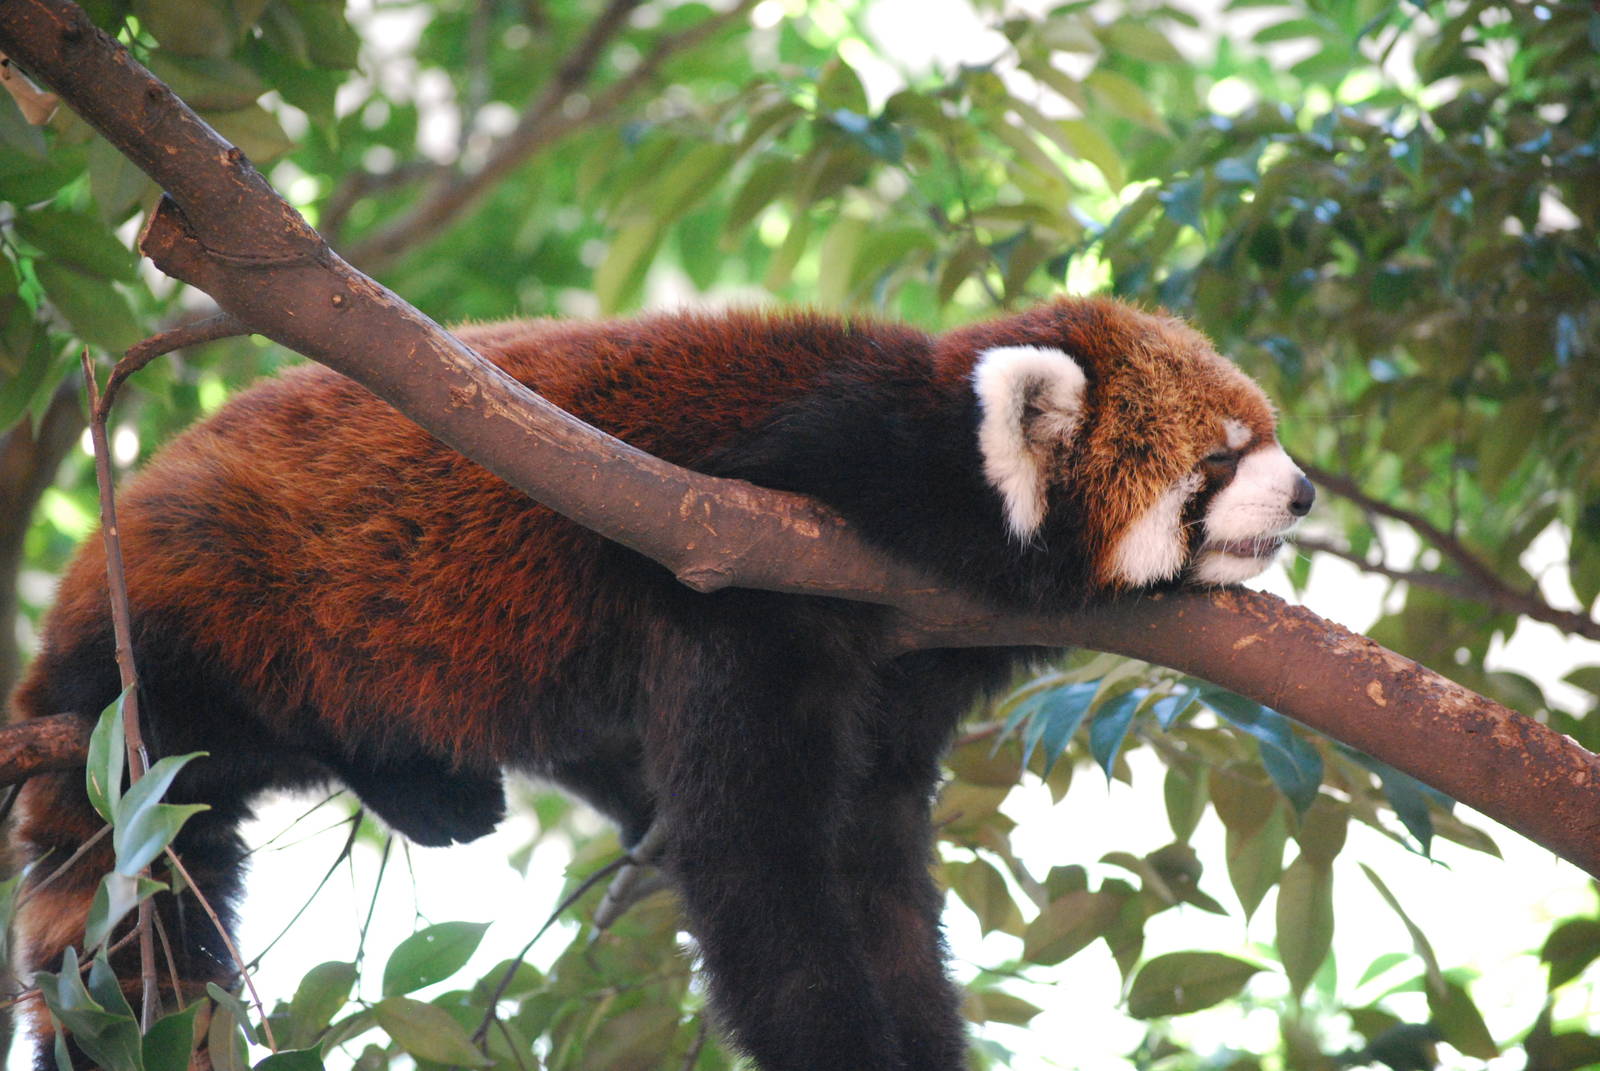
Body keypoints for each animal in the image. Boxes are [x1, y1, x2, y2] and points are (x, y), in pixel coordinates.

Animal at [9, 296, 1312, 1071]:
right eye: (1215, 460)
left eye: (1265, 430)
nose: (1302, 493)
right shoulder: (746, 552)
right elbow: (759, 864)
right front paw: (837, 1040)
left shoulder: (903, 681)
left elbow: (873, 867)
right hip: (206, 613)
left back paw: (434, 791)